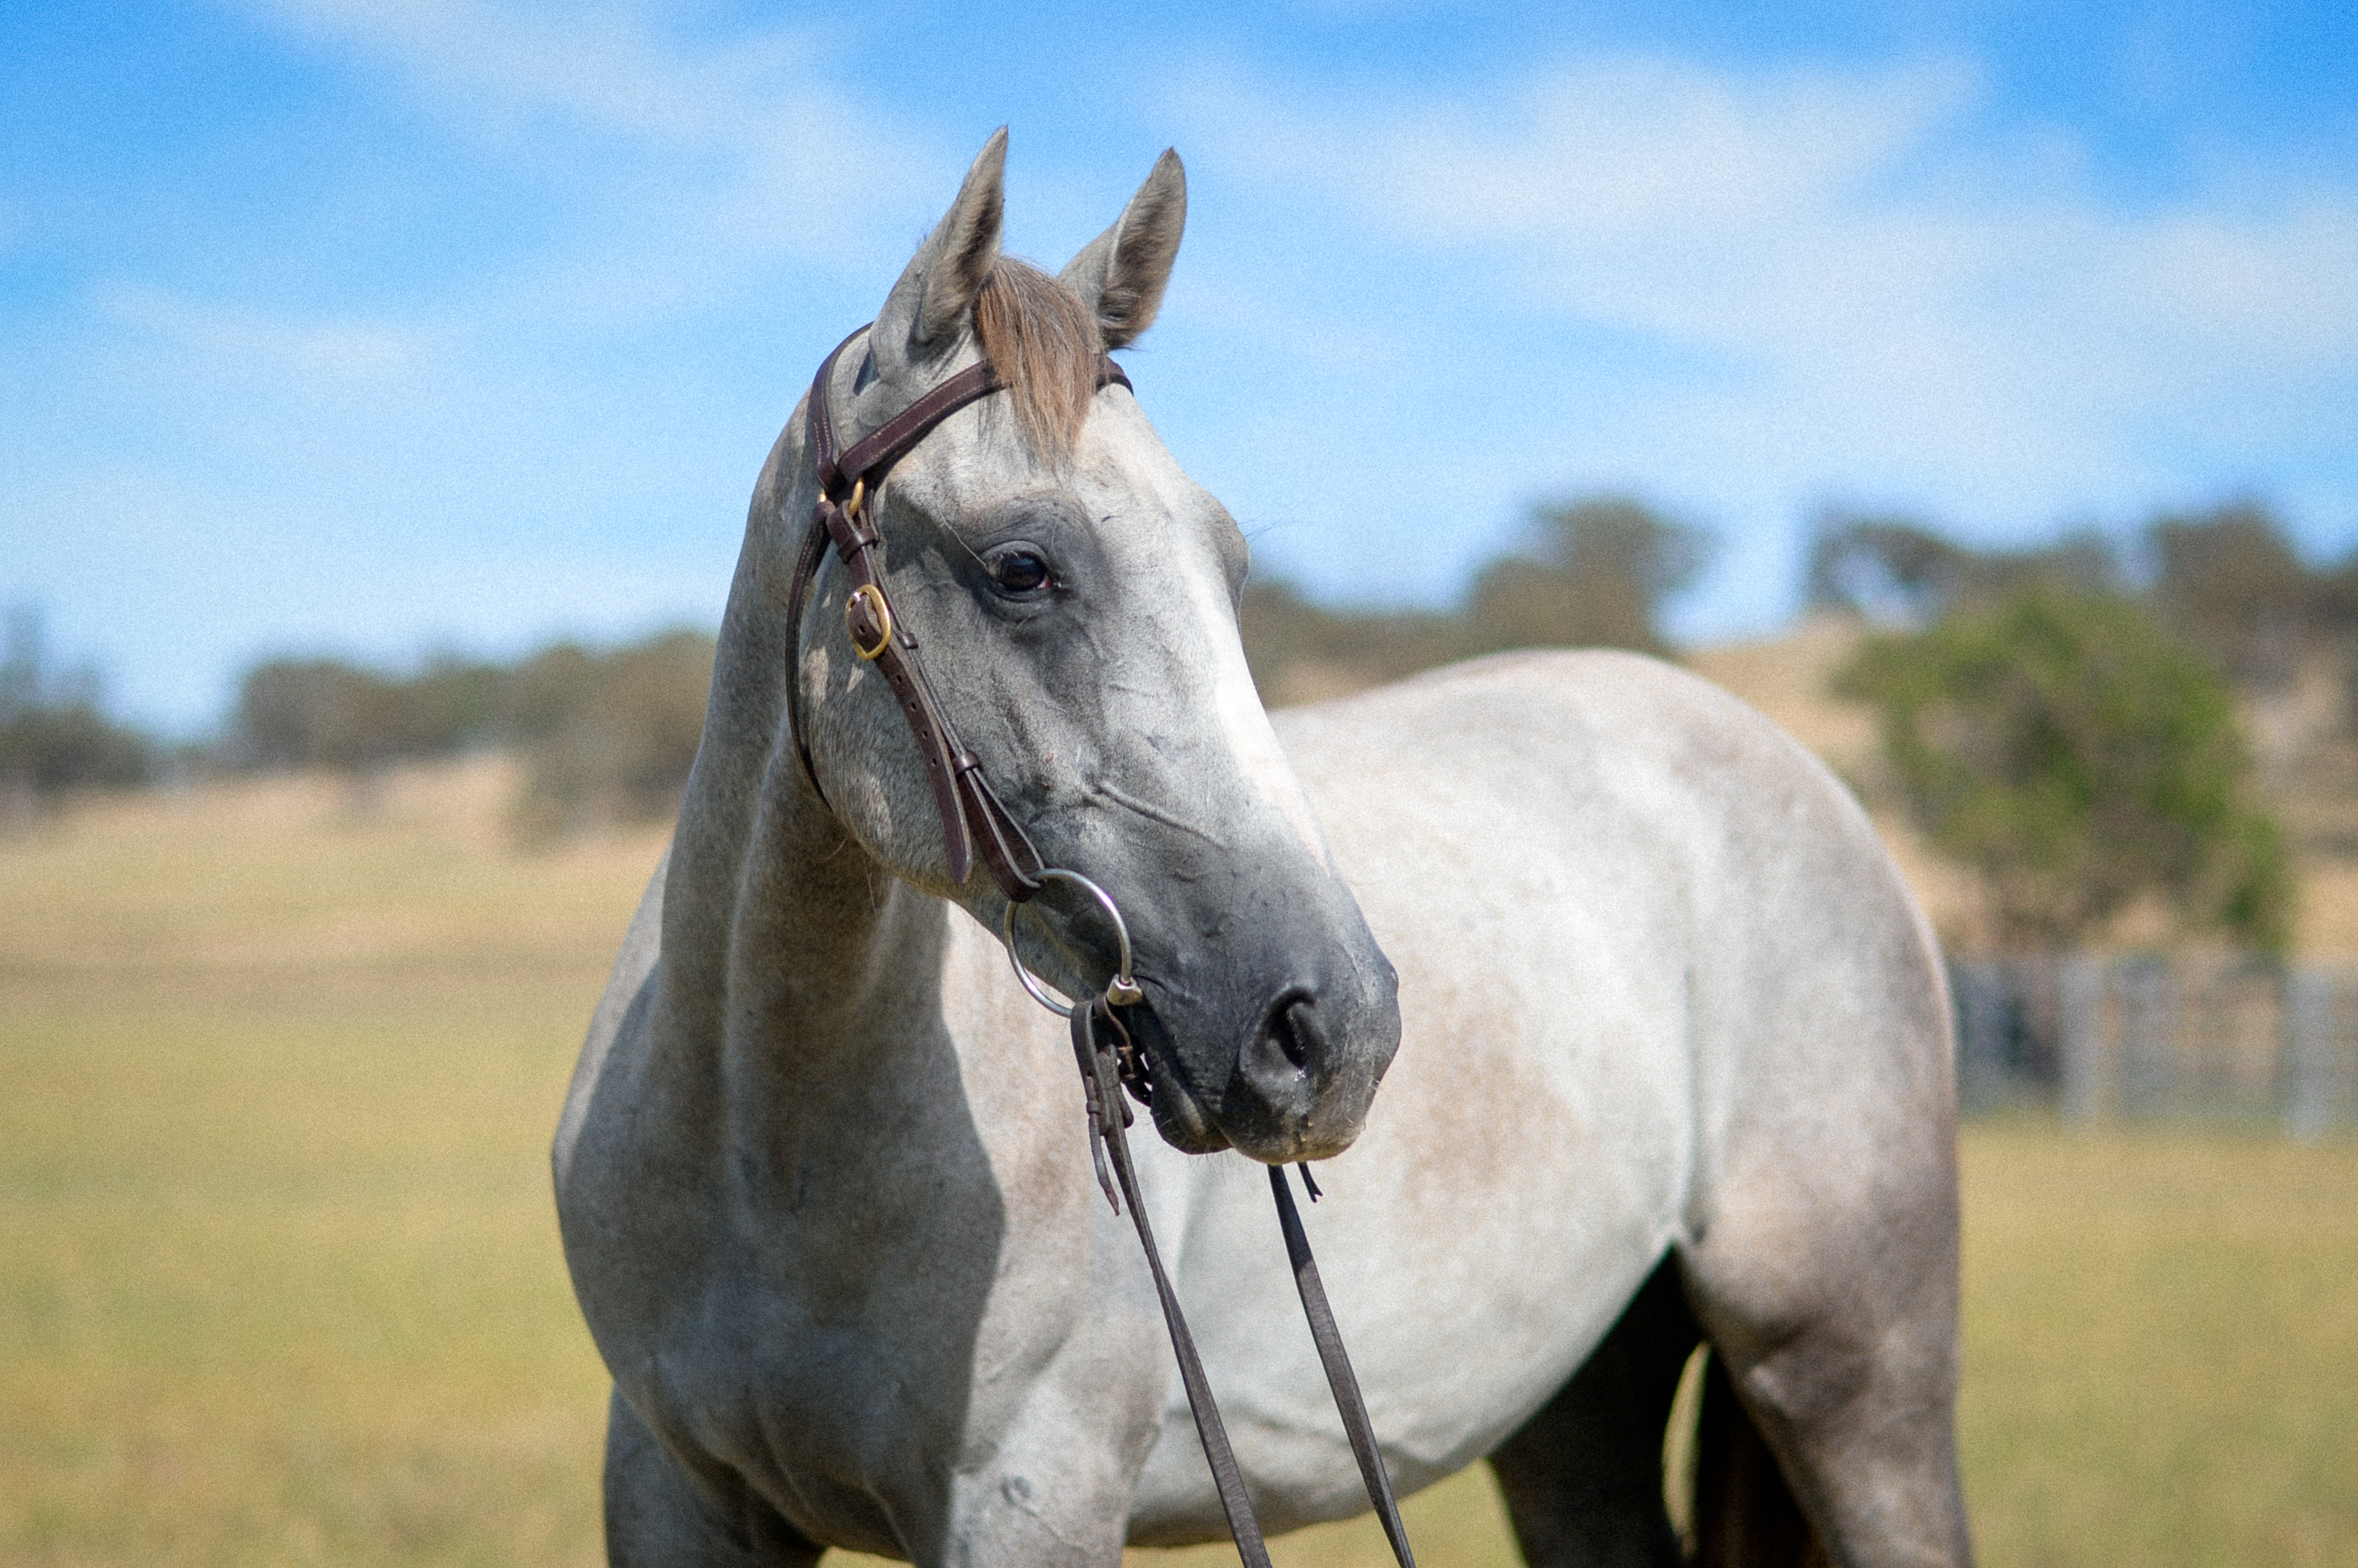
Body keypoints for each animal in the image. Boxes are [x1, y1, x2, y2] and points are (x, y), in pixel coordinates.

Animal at [554, 129, 1973, 1568]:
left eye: (1230, 564)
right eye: (1022, 568)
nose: (1336, 1027)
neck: (768, 1143)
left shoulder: (1028, 1499)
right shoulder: (674, 1490)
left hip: (1853, 1371)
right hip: (1575, 1408)